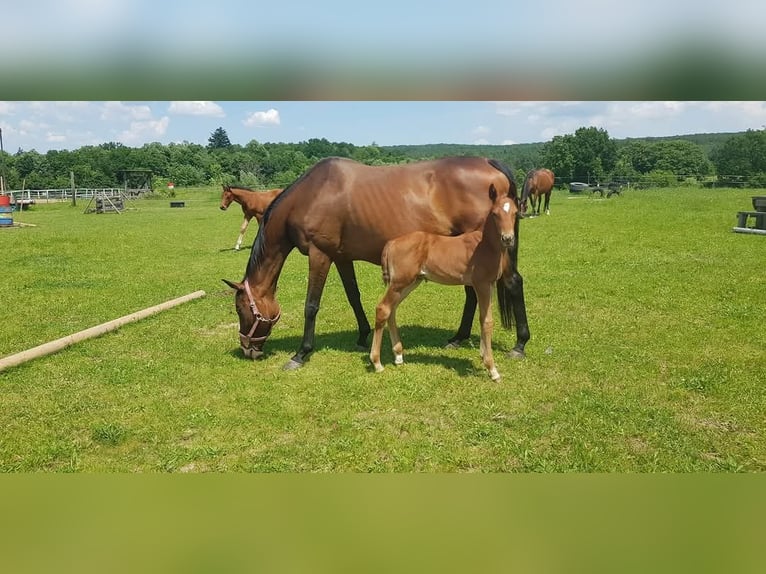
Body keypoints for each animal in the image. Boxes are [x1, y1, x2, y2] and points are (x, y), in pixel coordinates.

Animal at [368, 184, 520, 382]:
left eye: (515, 213)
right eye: (495, 214)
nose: (508, 239)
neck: (484, 245)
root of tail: (391, 243)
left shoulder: (490, 284)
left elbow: (483, 319)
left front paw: (483, 355)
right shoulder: (481, 284)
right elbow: (486, 321)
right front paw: (492, 369)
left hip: (410, 283)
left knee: (392, 310)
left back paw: (398, 355)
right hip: (400, 283)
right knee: (383, 309)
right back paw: (377, 362)